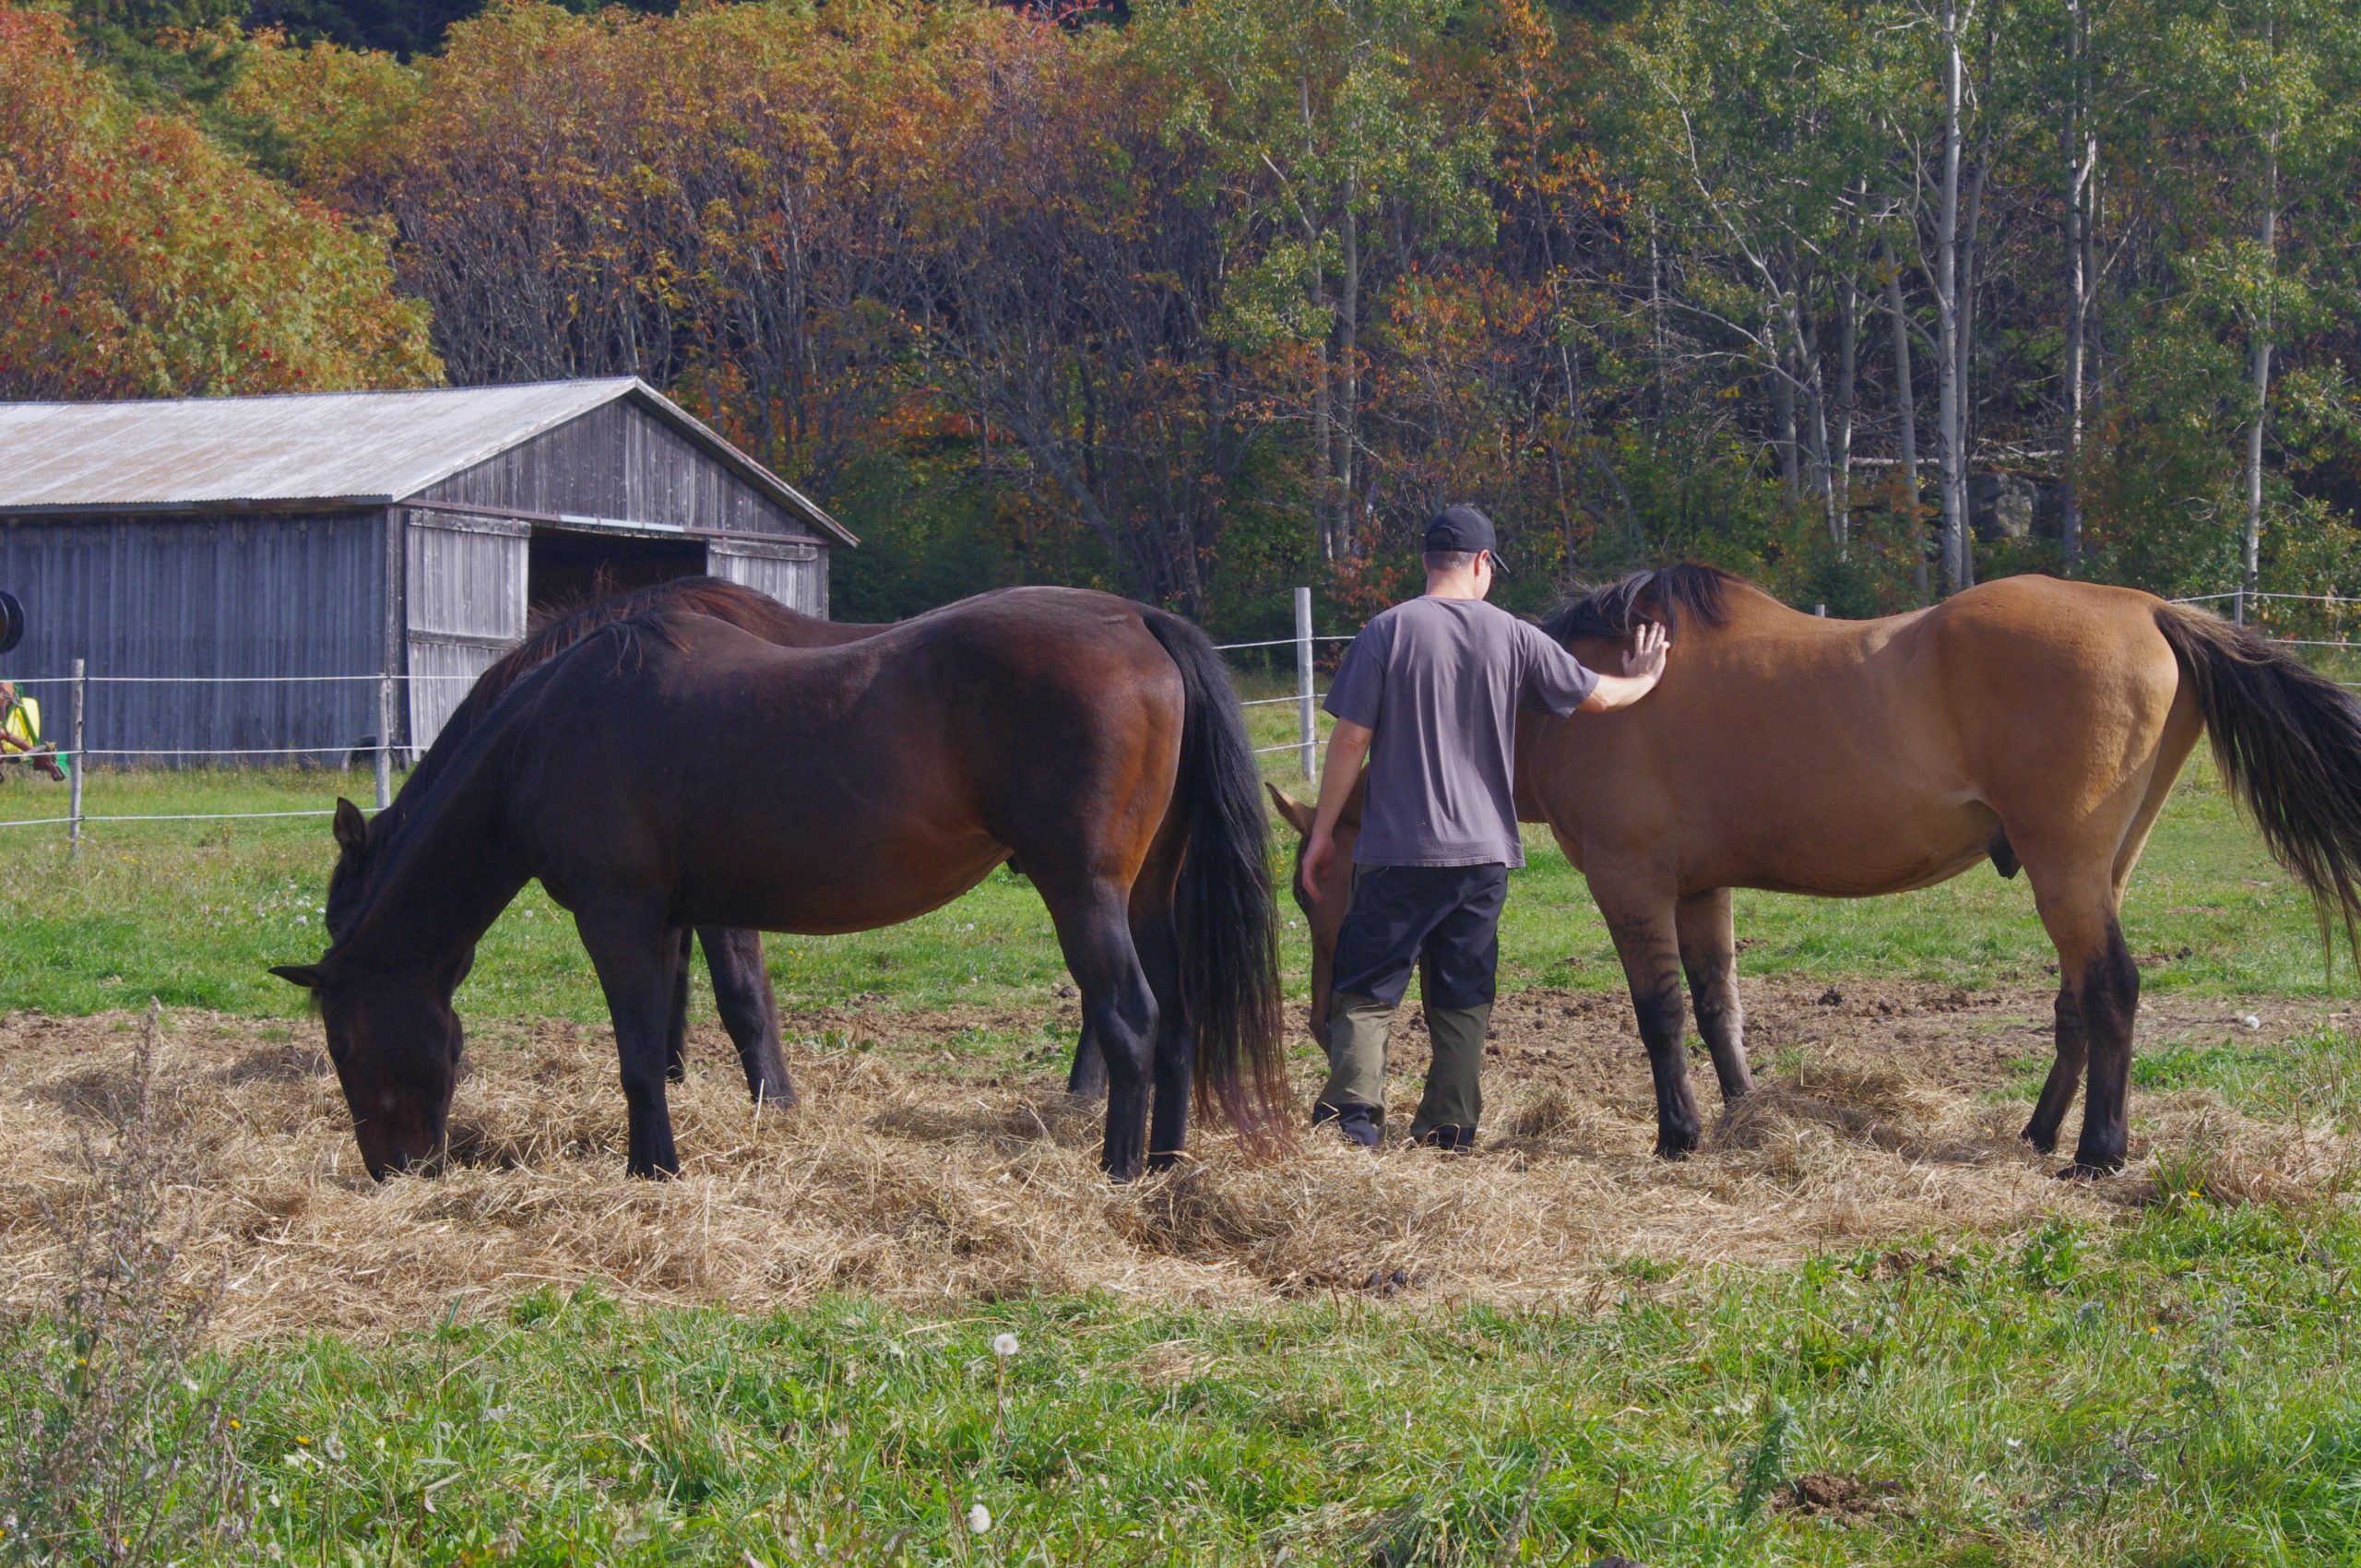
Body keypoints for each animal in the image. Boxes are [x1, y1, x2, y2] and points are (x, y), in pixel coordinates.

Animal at [277, 585, 1287, 1182]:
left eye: (347, 1045)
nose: (393, 1168)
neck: (548, 729)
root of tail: (1137, 620)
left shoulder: (618, 913)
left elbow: (643, 1050)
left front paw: (654, 1172)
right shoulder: (687, 915)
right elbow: (699, 1023)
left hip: (1081, 888)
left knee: (1129, 1016)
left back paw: (1118, 1169)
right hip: (1147, 892)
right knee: (1179, 1020)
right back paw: (1165, 1163)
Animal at [1273, 566, 2361, 1177]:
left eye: (1318, 889)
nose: (1323, 1017)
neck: (1565, 698)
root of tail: (2151, 609)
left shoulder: (1630, 882)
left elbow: (1658, 1010)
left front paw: (1677, 1134)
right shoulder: (1699, 888)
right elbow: (1719, 1006)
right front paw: (1744, 1114)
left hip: (2067, 872)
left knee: (2112, 992)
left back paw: (2097, 1153)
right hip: (2098, 871)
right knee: (2076, 1004)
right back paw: (2041, 1133)